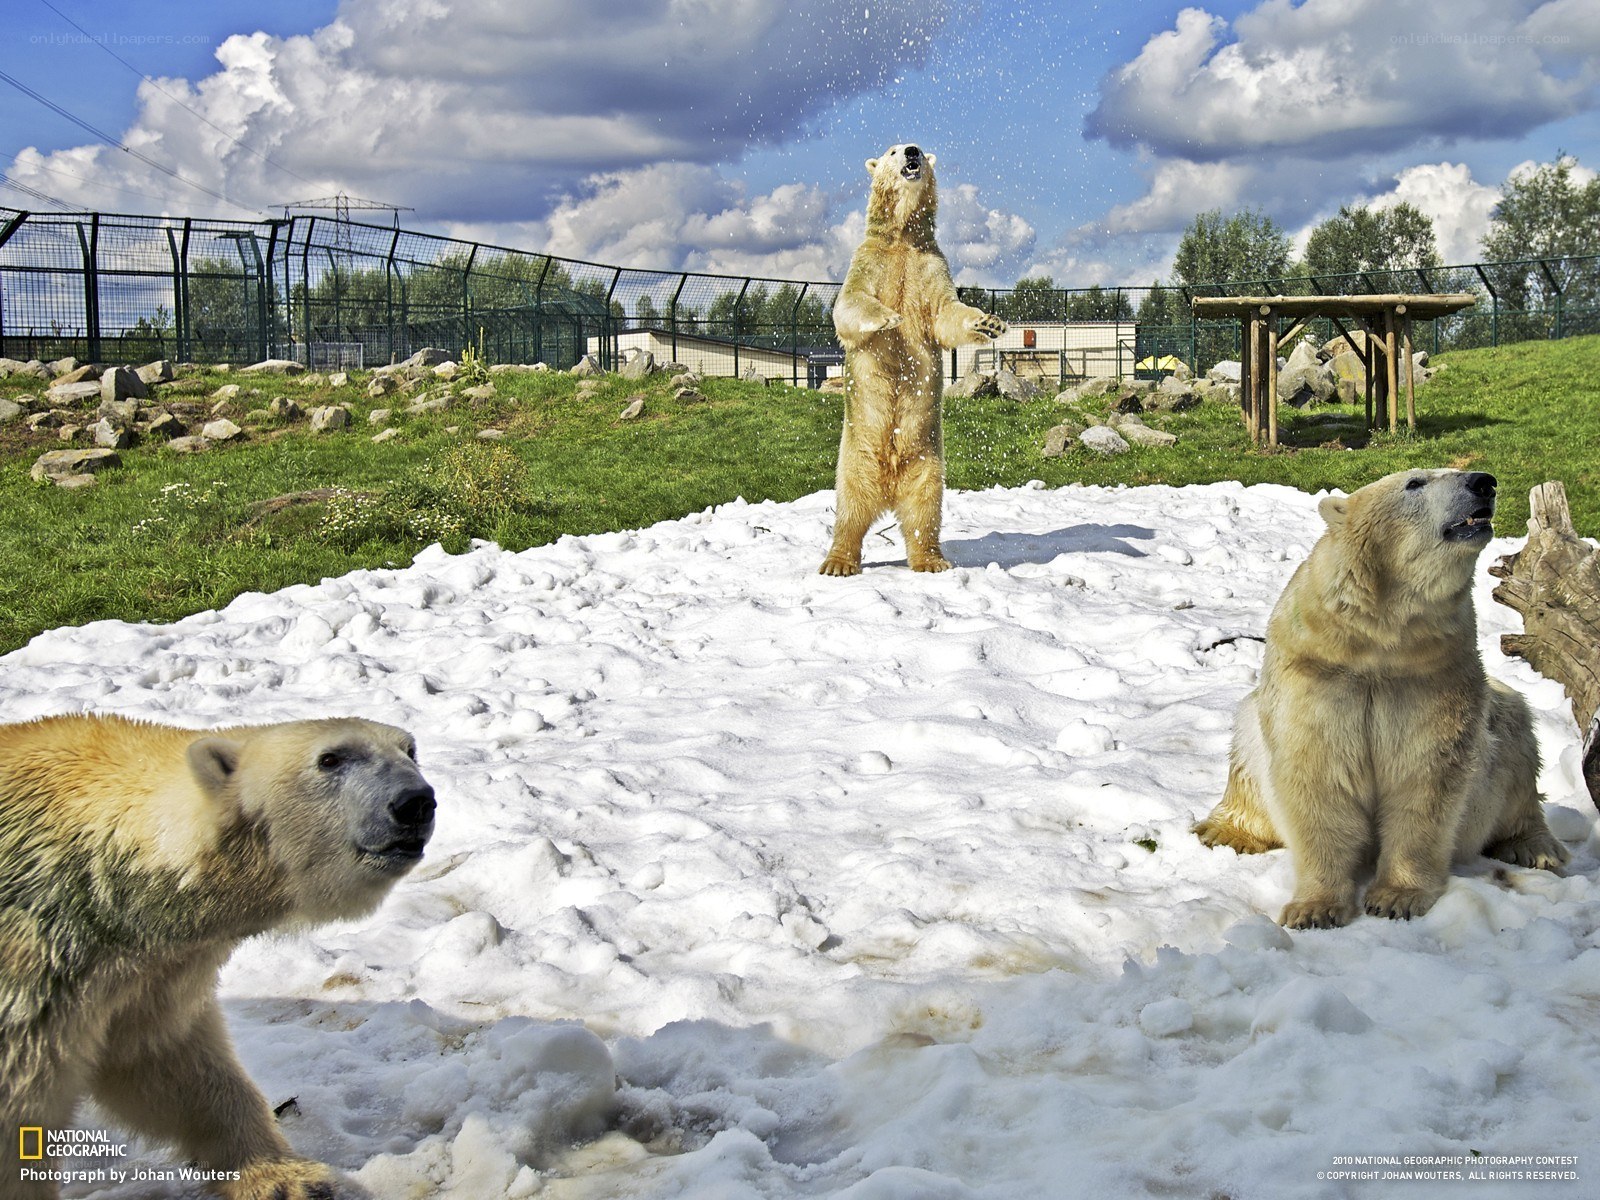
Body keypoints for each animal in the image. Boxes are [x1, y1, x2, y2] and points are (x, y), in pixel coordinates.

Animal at [0, 714, 436, 1200]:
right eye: (330, 758)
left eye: (410, 749)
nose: (416, 803)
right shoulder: (35, 972)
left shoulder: (145, 974)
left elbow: (169, 1061)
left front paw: (289, 1179)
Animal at [820, 142, 1006, 576]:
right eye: (892, 150)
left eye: (918, 146)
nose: (911, 152)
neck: (903, 238)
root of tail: (888, 490)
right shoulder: (869, 260)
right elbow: (850, 304)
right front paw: (888, 317)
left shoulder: (931, 264)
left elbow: (945, 313)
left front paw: (989, 323)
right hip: (855, 457)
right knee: (850, 507)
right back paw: (838, 561)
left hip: (928, 462)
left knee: (924, 510)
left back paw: (932, 560)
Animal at [1193, 469, 1568, 930]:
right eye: (1415, 483)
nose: (1484, 482)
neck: (1377, 638)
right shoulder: (1319, 675)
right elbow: (1318, 772)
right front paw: (1314, 909)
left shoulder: (1430, 677)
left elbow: (1423, 777)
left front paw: (1395, 898)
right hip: (1254, 725)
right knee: (1245, 752)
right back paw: (1223, 831)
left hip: (1502, 725)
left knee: (1519, 752)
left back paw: (1535, 848)